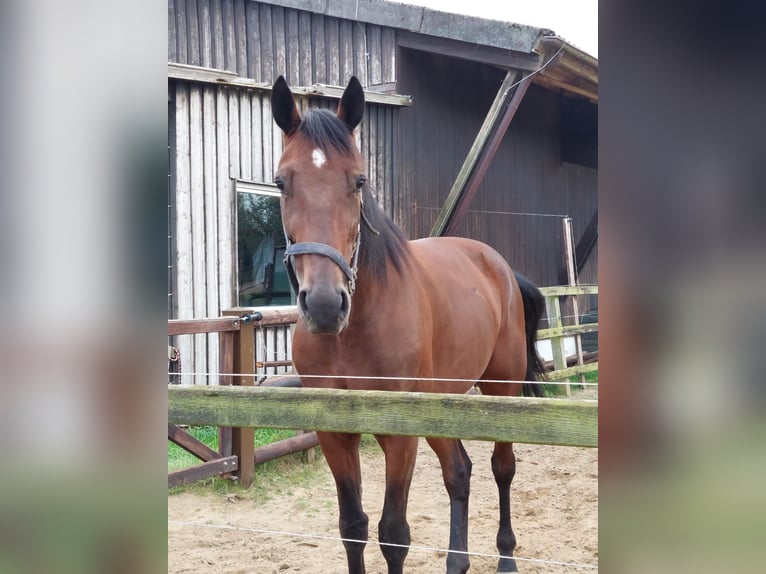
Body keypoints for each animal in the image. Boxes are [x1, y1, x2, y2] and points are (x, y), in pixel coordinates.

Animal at [272, 76, 548, 574]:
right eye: (282, 182)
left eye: (359, 180)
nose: (324, 305)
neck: (351, 335)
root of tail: (497, 264)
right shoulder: (334, 434)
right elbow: (353, 527)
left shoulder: (400, 436)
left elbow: (394, 535)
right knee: (459, 471)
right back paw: (457, 563)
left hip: (501, 389)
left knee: (502, 467)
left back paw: (505, 558)